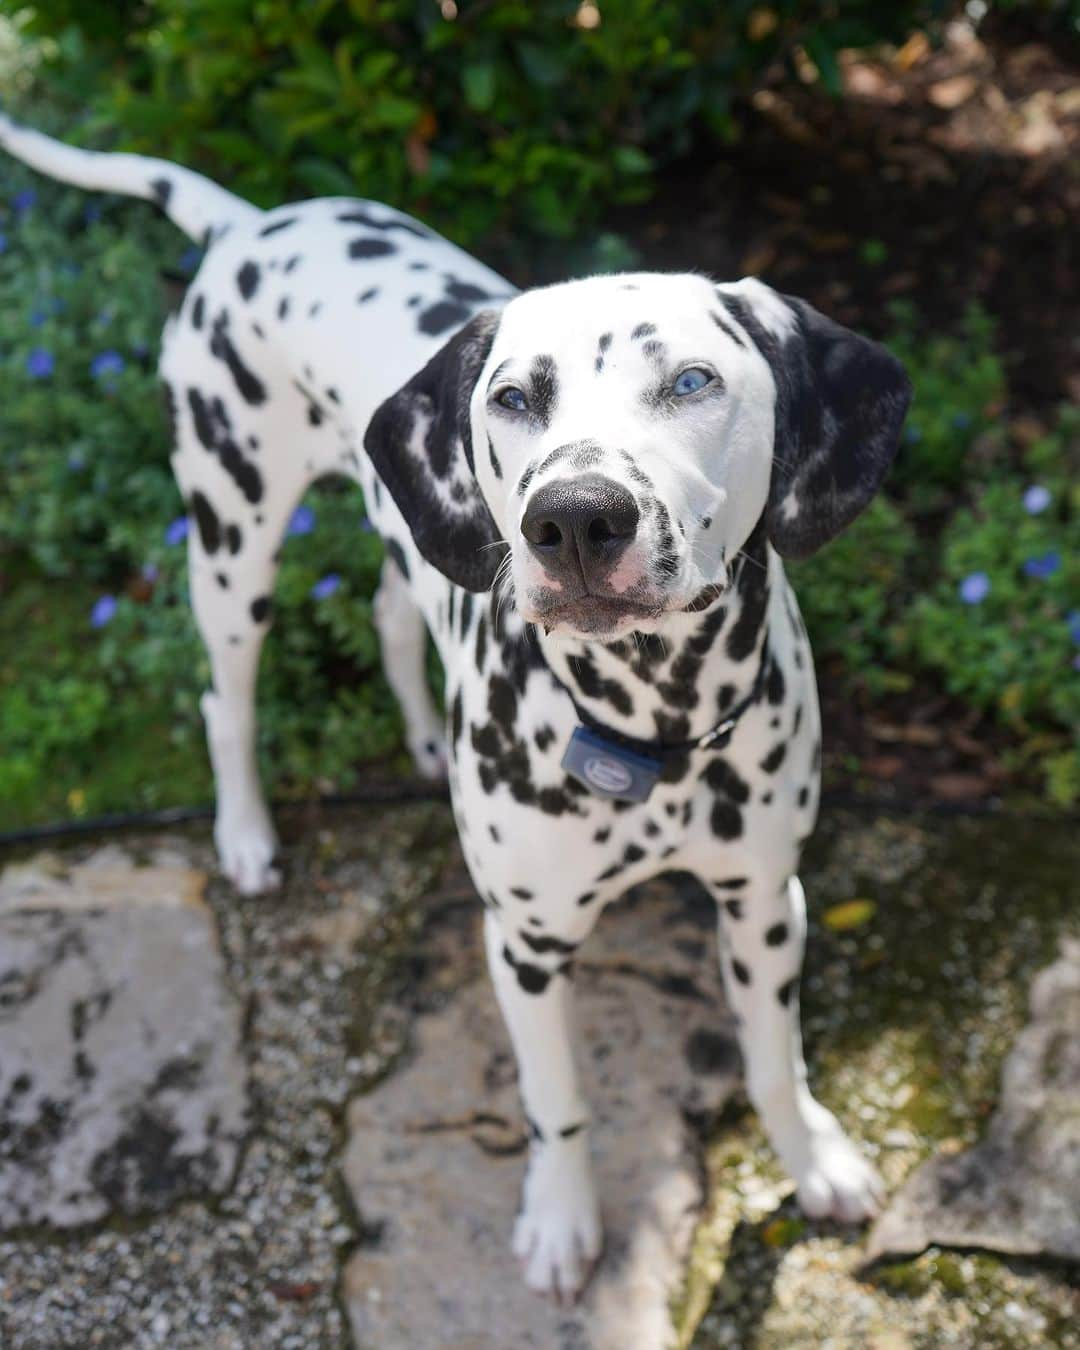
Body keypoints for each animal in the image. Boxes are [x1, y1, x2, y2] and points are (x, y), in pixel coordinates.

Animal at [2, 113, 912, 1296]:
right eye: (514, 397)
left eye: (694, 380)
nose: (576, 518)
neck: (650, 729)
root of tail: (248, 224)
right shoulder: (523, 943)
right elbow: (555, 1101)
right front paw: (562, 1222)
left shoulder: (764, 900)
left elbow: (772, 1060)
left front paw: (811, 1159)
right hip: (230, 546)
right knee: (223, 700)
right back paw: (244, 833)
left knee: (391, 611)